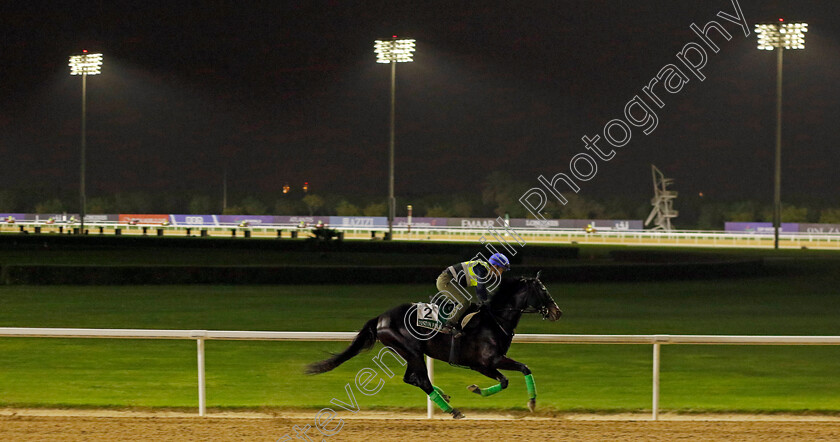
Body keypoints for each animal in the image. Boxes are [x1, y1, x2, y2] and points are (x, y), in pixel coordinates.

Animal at [306, 272, 560, 418]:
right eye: (543, 290)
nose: (557, 312)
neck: (494, 320)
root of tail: (381, 318)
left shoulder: (490, 363)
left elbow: (520, 371)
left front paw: (531, 402)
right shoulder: (485, 363)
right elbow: (510, 378)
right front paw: (479, 390)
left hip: (411, 353)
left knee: (412, 378)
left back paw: (444, 397)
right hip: (411, 351)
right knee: (422, 381)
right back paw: (452, 410)